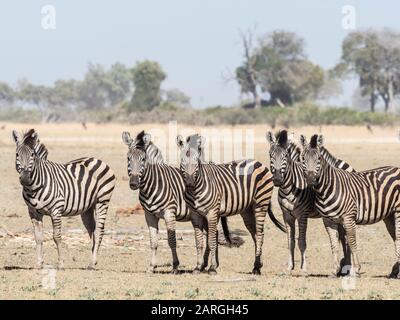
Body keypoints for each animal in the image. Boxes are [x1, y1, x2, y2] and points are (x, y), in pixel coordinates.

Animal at [12, 129, 115, 268]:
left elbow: (57, 236)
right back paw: (92, 261)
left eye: (32, 154)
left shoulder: (56, 210)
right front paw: (39, 263)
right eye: (17, 154)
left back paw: (93, 263)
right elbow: (38, 237)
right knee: (92, 231)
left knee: (99, 231)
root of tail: (97, 159)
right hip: (87, 208)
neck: (33, 186)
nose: (25, 178)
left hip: (102, 201)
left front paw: (61, 263)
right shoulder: (33, 212)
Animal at [120, 131, 236, 274]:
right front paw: (151, 266)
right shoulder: (149, 215)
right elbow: (153, 242)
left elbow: (172, 240)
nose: (134, 184)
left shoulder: (169, 212)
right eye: (128, 159)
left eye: (143, 159)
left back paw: (210, 265)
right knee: (212, 234)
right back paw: (207, 264)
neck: (153, 184)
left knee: (213, 235)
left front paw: (175, 266)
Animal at [177, 132, 286, 276]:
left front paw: (212, 268)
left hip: (260, 204)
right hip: (247, 210)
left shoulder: (212, 213)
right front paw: (198, 267)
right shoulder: (195, 215)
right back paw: (257, 265)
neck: (196, 189)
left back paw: (257, 267)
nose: (189, 183)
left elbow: (211, 240)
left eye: (197, 162)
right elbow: (199, 241)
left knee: (260, 234)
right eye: (182, 161)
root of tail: (258, 162)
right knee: (255, 233)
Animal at [268, 130, 352, 276]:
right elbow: (290, 242)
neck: (289, 188)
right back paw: (343, 266)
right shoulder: (287, 216)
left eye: (285, 156)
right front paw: (289, 268)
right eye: (270, 155)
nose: (277, 179)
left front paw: (304, 269)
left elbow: (301, 242)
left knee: (345, 237)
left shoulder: (302, 215)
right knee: (342, 236)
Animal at [300, 134, 400, 276]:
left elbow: (352, 243)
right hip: (389, 215)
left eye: (318, 158)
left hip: (398, 211)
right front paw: (334, 270)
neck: (326, 190)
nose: (310, 179)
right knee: (396, 238)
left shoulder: (348, 218)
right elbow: (334, 244)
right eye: (303, 158)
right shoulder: (328, 220)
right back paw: (395, 270)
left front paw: (356, 268)